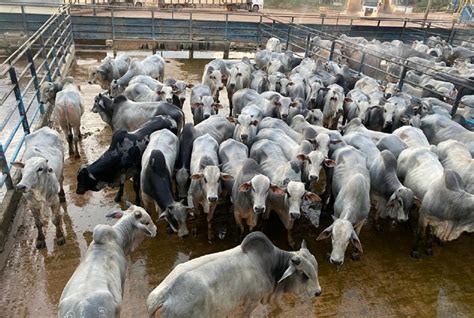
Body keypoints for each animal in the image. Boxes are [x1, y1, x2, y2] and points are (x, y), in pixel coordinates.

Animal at [146, 231, 320, 318]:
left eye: (316, 269)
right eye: (305, 275)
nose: (318, 292)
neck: (271, 266)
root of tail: (161, 299)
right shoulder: (251, 301)